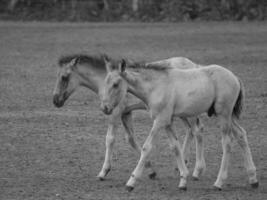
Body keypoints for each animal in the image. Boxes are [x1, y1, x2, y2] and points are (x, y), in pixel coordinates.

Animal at [51, 54, 207, 181]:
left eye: (64, 77)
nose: (55, 100)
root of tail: (195, 65)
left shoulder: (115, 112)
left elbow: (110, 139)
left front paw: (103, 171)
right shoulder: (126, 113)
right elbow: (131, 139)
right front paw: (151, 171)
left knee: (197, 131)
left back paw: (197, 171)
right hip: (182, 112)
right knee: (190, 131)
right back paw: (183, 164)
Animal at [101, 56, 260, 191]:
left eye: (115, 84)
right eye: (105, 82)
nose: (105, 108)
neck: (156, 86)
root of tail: (234, 77)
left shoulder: (159, 121)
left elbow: (147, 147)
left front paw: (131, 182)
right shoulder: (168, 122)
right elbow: (175, 147)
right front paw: (183, 181)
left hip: (223, 115)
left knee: (227, 142)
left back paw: (219, 182)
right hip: (228, 116)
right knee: (241, 135)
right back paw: (253, 179)